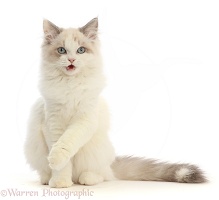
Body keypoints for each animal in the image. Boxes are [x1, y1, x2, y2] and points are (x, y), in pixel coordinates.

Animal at [24, 17, 207, 188]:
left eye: (80, 50)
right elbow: (62, 161)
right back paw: (47, 179)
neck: (70, 84)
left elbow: (67, 142)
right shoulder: (53, 123)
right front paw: (60, 182)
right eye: (61, 50)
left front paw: (56, 159)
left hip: (97, 151)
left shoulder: (85, 120)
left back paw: (88, 179)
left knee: (101, 174)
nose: (71, 60)